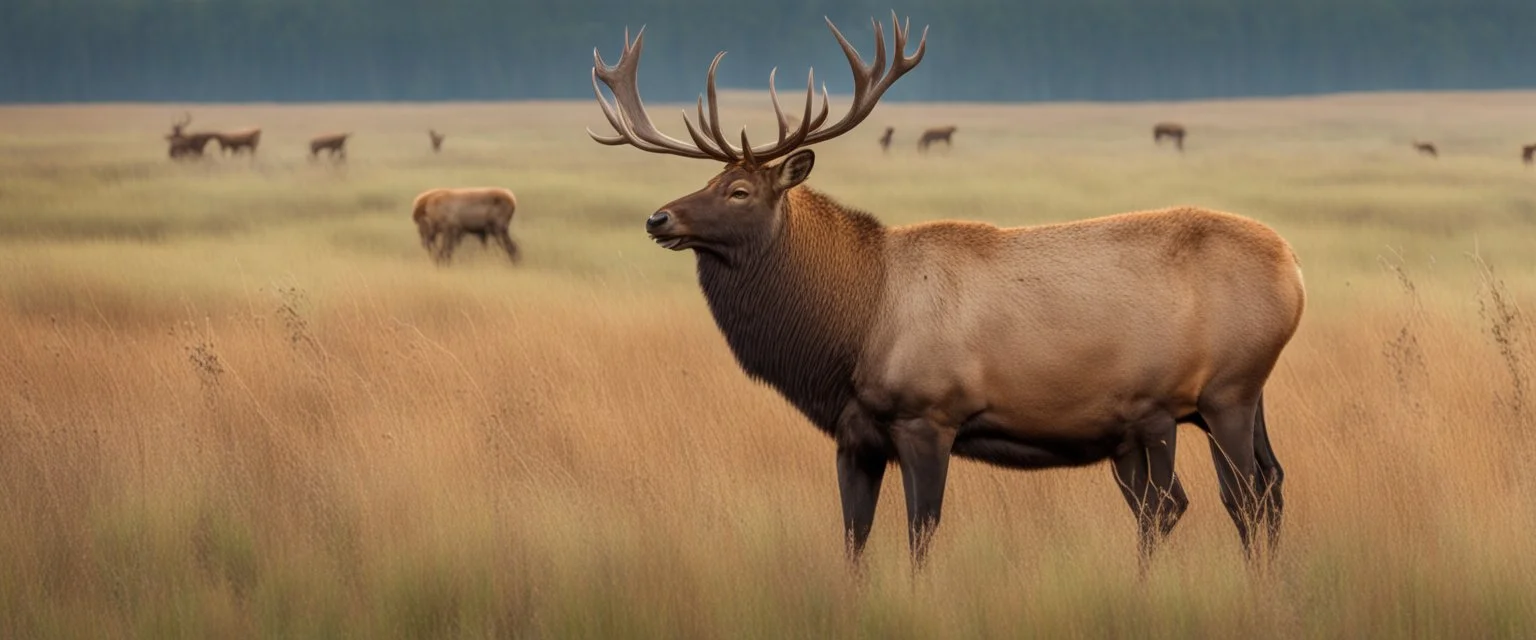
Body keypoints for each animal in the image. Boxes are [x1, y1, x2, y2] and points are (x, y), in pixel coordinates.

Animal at [586, 11, 1308, 567]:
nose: (659, 218)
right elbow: (853, 538)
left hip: (1226, 391)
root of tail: (1294, 269)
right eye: (705, 182)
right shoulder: (854, 436)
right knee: (1258, 489)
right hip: (1213, 405)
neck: (852, 329)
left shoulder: (929, 414)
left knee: (1235, 498)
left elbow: (919, 532)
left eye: (737, 190)